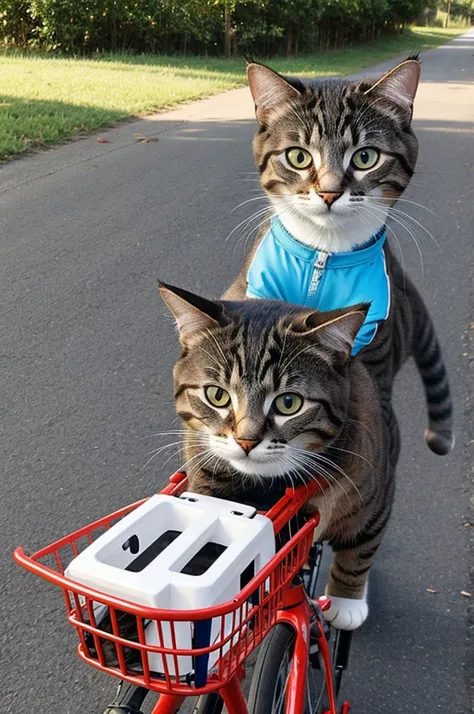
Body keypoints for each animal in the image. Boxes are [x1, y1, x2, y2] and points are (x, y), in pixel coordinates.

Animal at [161, 284, 398, 628]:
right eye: (216, 395)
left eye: (289, 403)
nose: (246, 441)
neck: (266, 485)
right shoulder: (204, 475)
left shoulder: (374, 494)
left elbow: (360, 548)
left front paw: (346, 602)